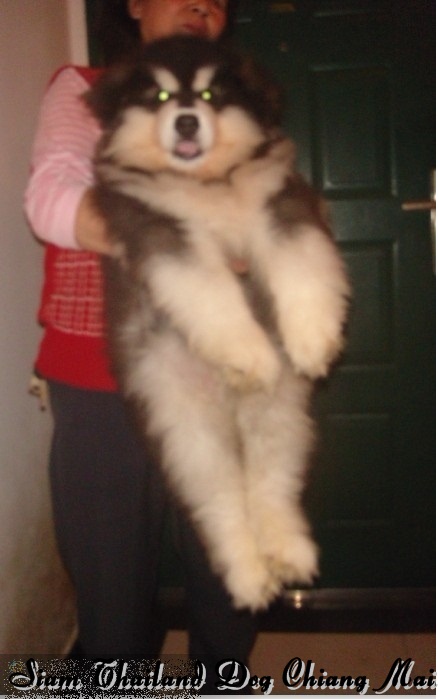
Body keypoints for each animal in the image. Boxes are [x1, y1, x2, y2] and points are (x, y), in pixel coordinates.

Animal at [85, 36, 350, 611]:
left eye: (210, 94)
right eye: (160, 96)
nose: (187, 121)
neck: (206, 183)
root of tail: (230, 409)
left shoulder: (282, 204)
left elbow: (302, 265)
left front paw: (312, 340)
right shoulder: (162, 234)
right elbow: (213, 294)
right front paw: (251, 354)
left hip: (282, 422)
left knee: (271, 486)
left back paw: (287, 555)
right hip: (187, 435)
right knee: (221, 504)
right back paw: (248, 576)